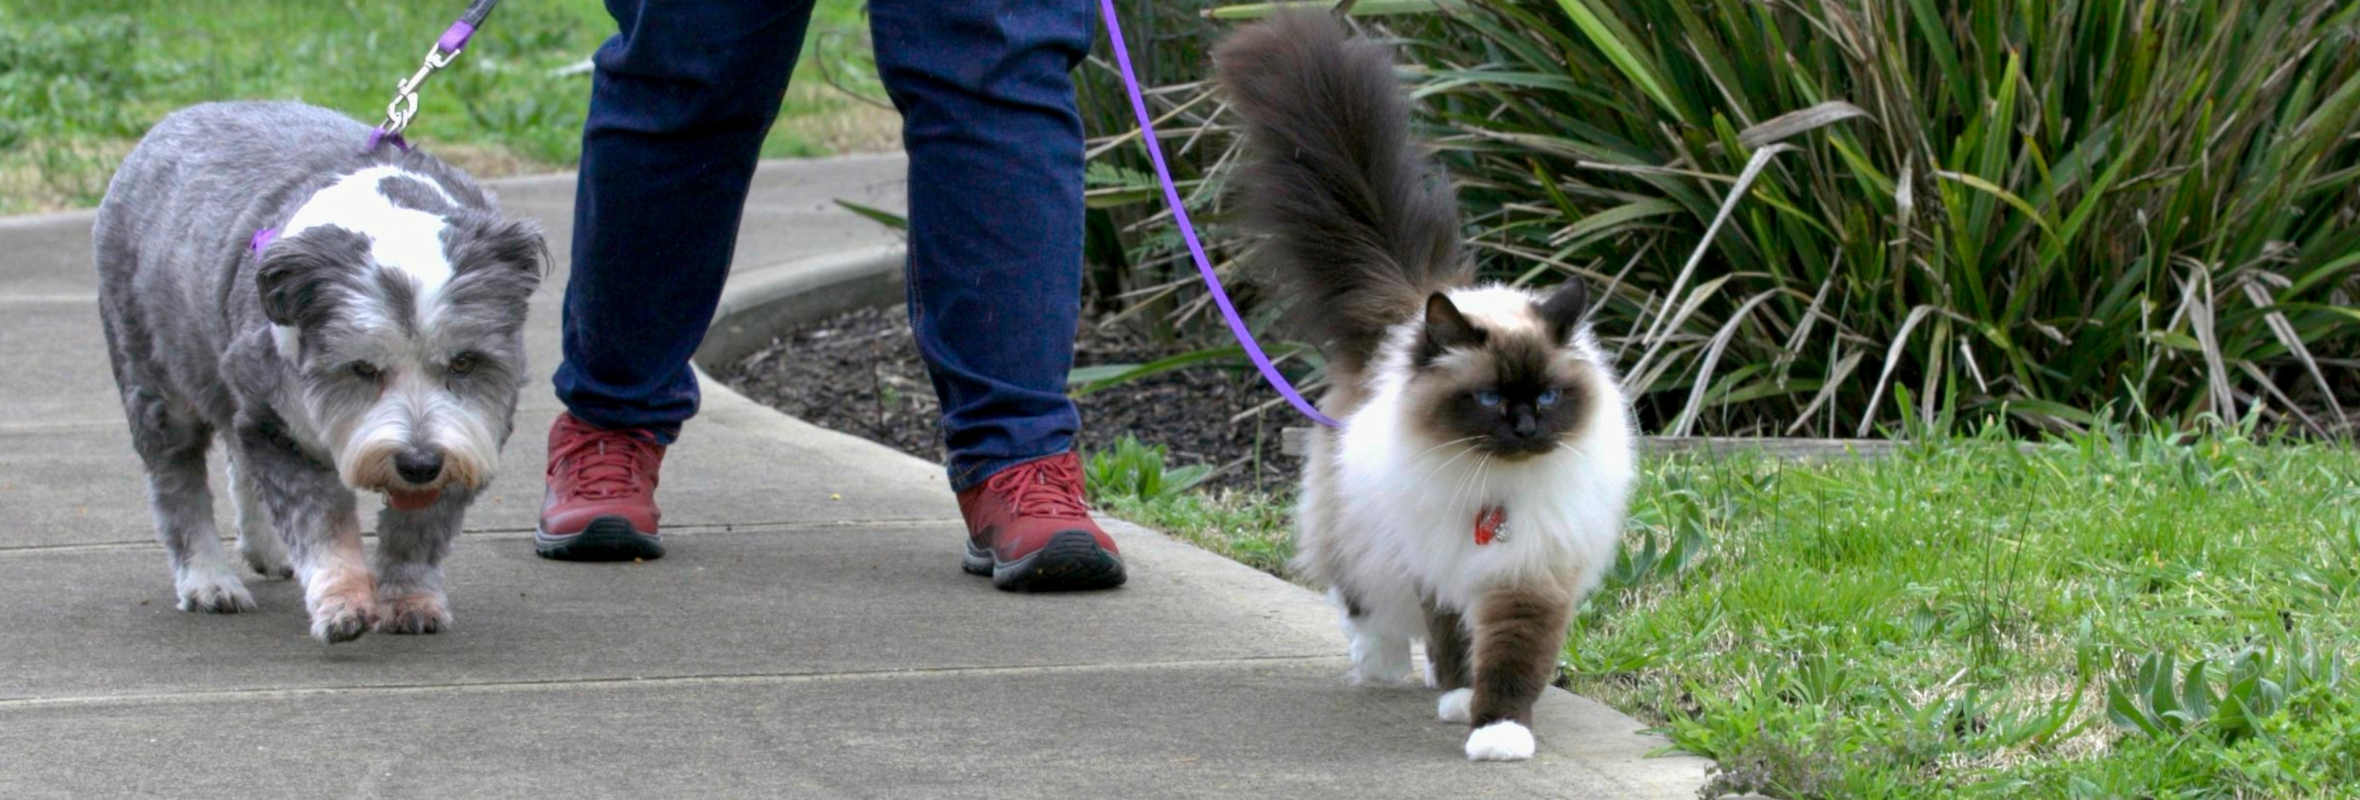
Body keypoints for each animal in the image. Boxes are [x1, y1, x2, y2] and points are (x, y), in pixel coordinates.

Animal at [97, 105, 542, 646]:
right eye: (362, 368)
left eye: (463, 362)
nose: (418, 464)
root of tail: (176, 117)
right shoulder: (278, 427)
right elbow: (321, 525)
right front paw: (342, 602)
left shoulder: (470, 436)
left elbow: (419, 530)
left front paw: (411, 600)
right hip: (158, 381)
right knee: (177, 479)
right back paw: (207, 582)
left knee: (237, 457)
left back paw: (264, 550)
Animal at [1217, 12, 1642, 764]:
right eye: (1491, 400)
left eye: (1548, 397)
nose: (1526, 427)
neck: (1494, 490)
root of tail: (1412, 306)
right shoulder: (1436, 564)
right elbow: (1453, 644)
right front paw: (1459, 701)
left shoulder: (1529, 576)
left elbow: (1512, 661)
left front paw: (1498, 733)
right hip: (1360, 523)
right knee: (1359, 600)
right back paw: (1382, 667)